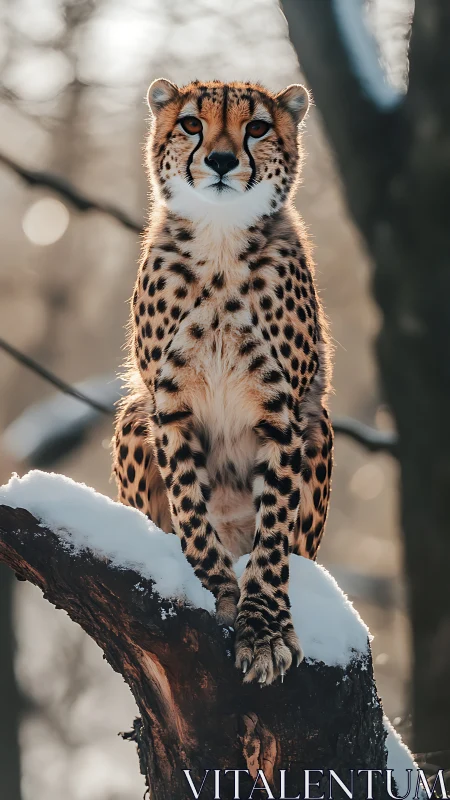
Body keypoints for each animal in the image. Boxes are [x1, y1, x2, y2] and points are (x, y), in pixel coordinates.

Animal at [112, 78, 333, 686]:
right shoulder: (167, 405)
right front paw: (216, 588)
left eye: (256, 128)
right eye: (192, 124)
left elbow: (274, 528)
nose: (219, 160)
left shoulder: (283, 413)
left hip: (321, 424)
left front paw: (265, 628)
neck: (219, 241)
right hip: (132, 417)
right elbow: (191, 509)